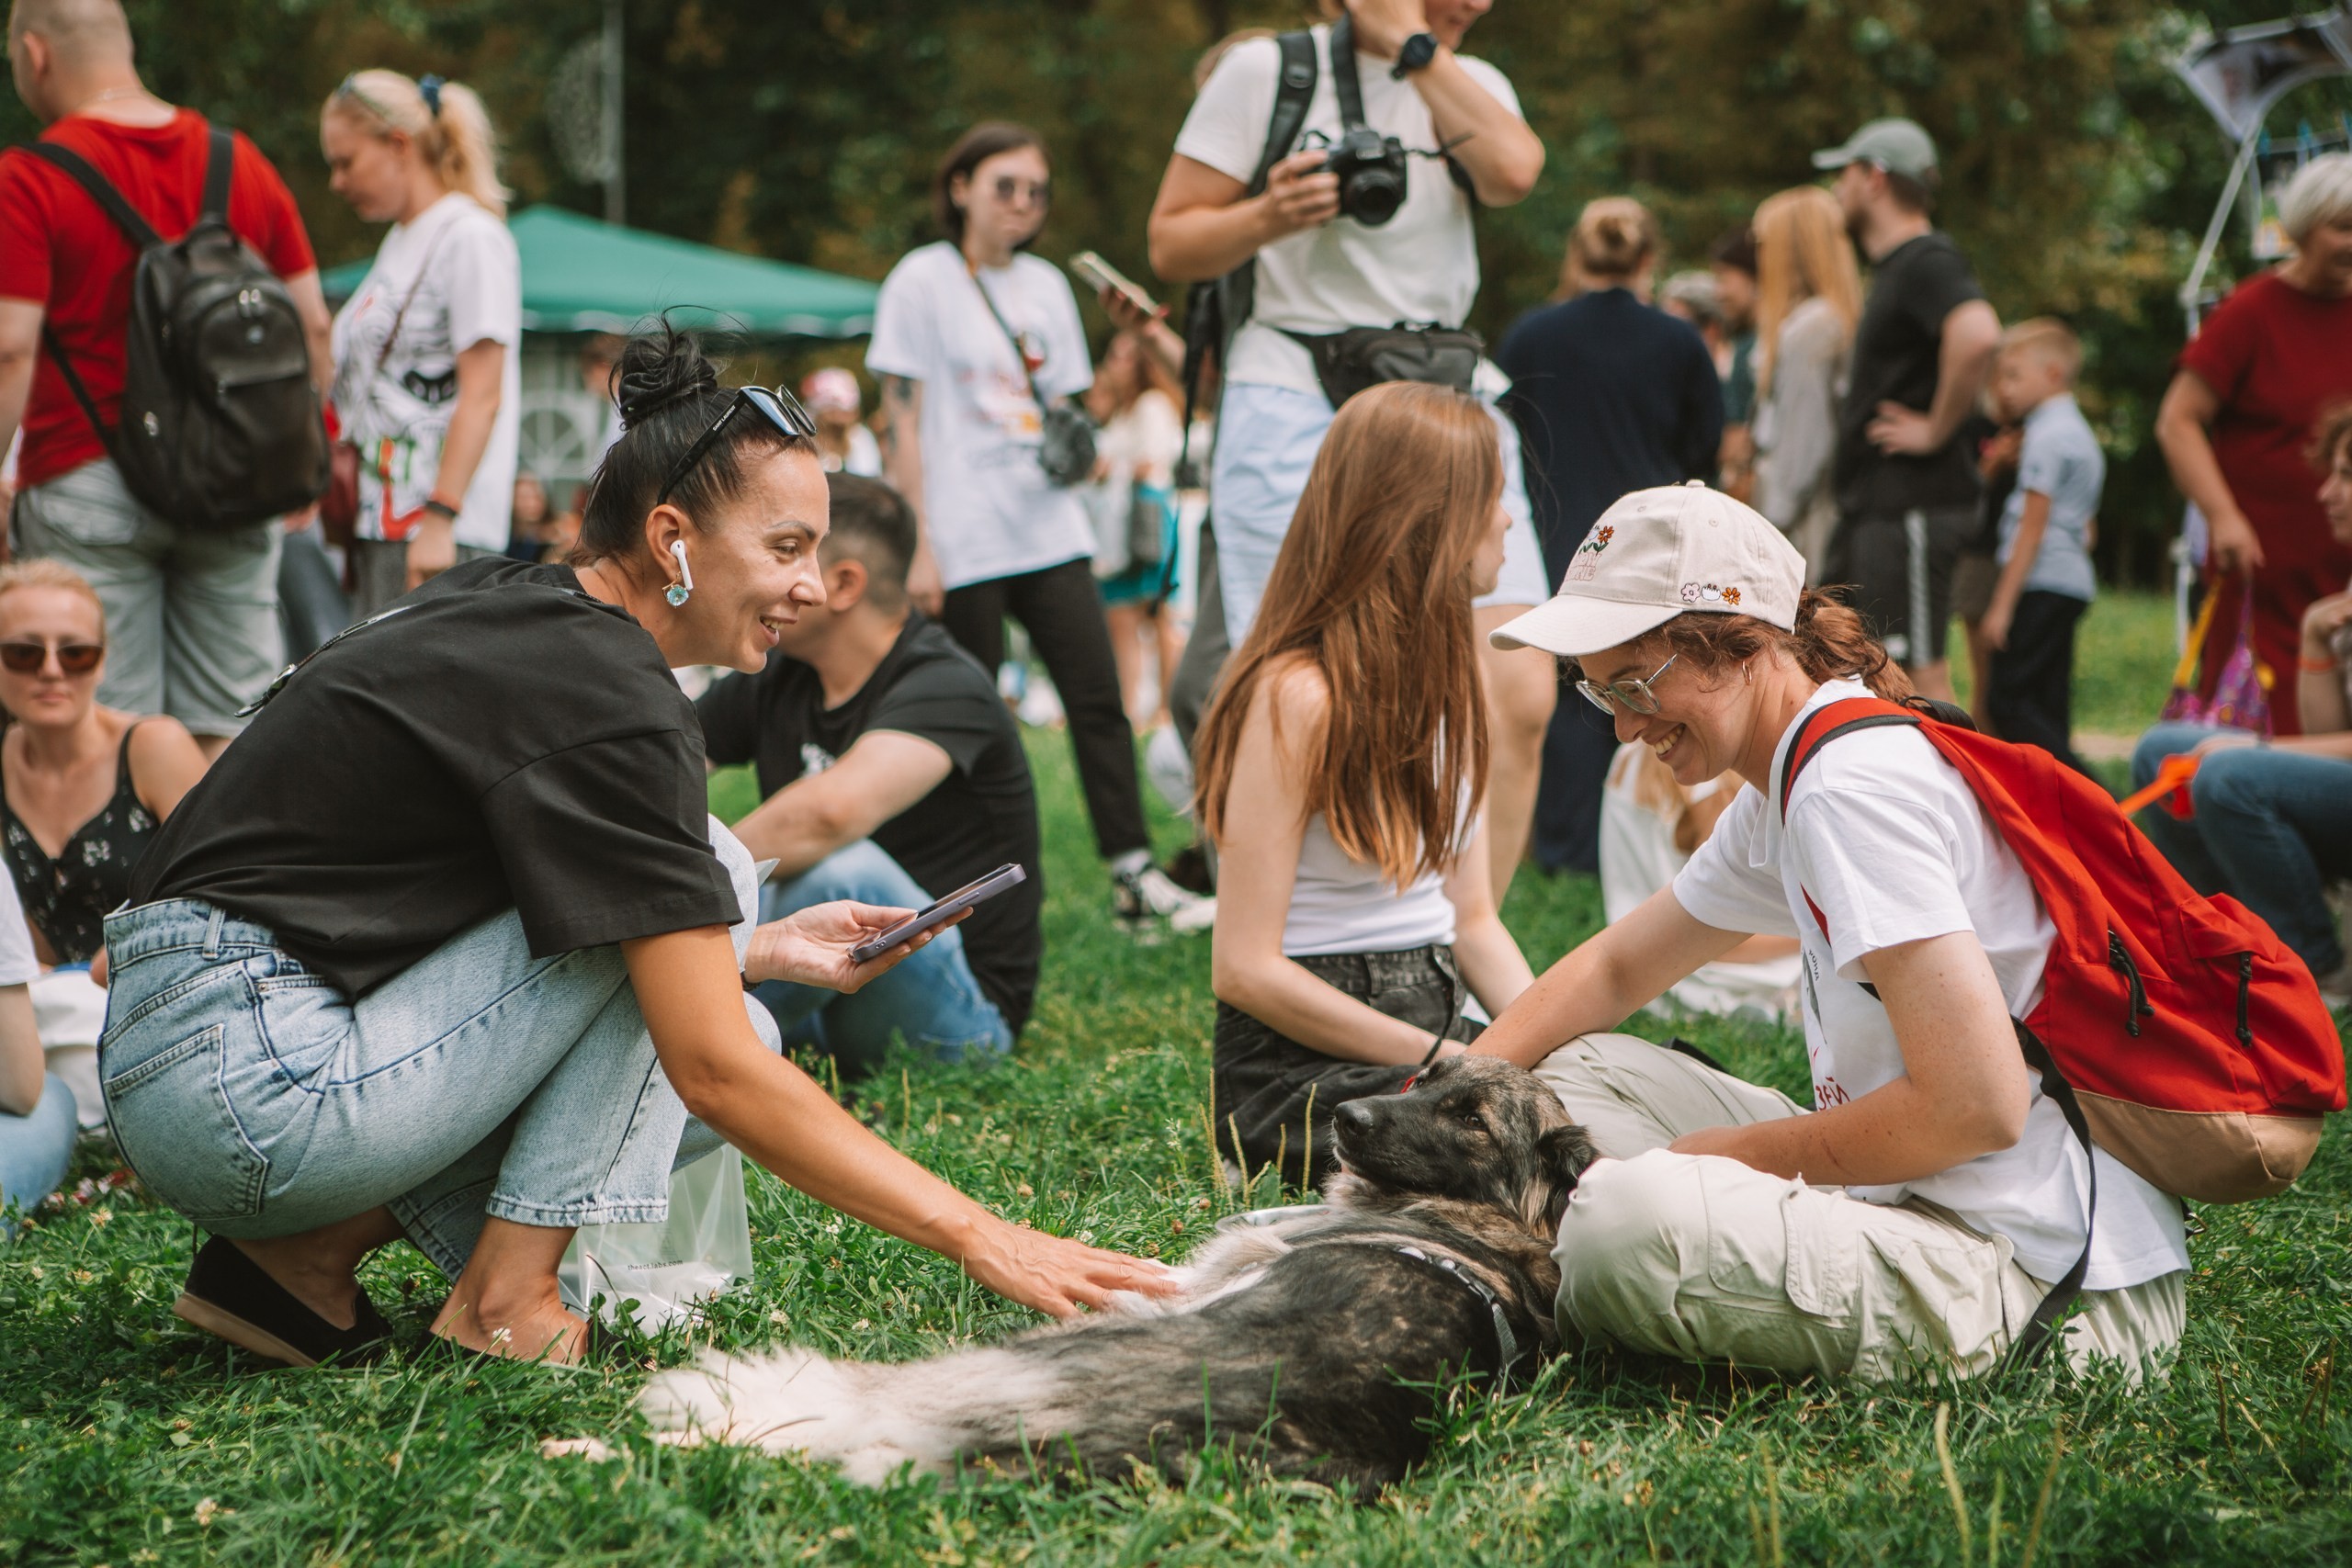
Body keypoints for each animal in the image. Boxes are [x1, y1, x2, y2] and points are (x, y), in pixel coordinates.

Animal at [635, 1053, 1599, 1495]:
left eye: (1471, 1118)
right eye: (1423, 1076)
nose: (1347, 1118)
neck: (1485, 1220)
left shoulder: (1208, 1269)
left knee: (821, 1411)